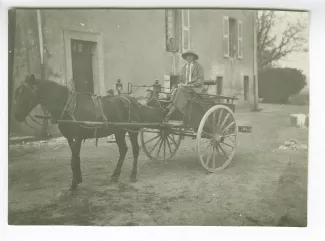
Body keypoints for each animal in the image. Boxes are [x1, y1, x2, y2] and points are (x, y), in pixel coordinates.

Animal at [13, 73, 163, 190]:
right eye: (17, 92)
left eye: (27, 93)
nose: (16, 116)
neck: (69, 106)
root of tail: (132, 100)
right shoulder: (70, 138)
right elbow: (75, 159)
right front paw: (78, 179)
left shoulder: (78, 137)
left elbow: (74, 159)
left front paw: (74, 184)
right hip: (119, 131)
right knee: (123, 150)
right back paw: (115, 175)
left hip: (132, 130)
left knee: (135, 150)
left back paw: (133, 175)